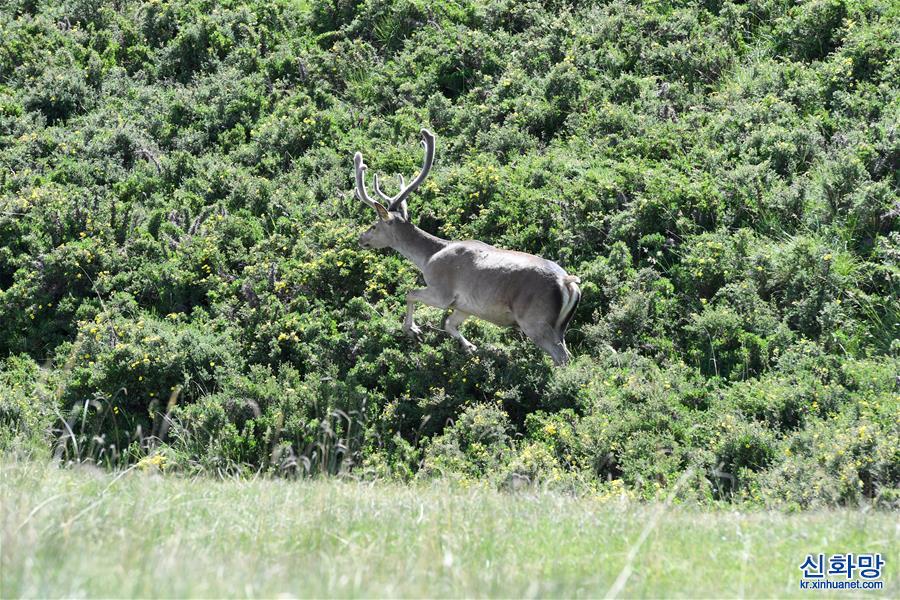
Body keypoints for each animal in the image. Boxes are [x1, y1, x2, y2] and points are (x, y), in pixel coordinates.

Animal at [356, 127, 580, 366]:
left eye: (374, 225)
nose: (361, 238)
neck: (428, 258)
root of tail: (567, 283)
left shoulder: (442, 292)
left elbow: (410, 293)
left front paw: (412, 330)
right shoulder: (465, 305)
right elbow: (449, 324)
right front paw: (470, 347)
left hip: (535, 319)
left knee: (562, 357)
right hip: (558, 326)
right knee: (567, 352)